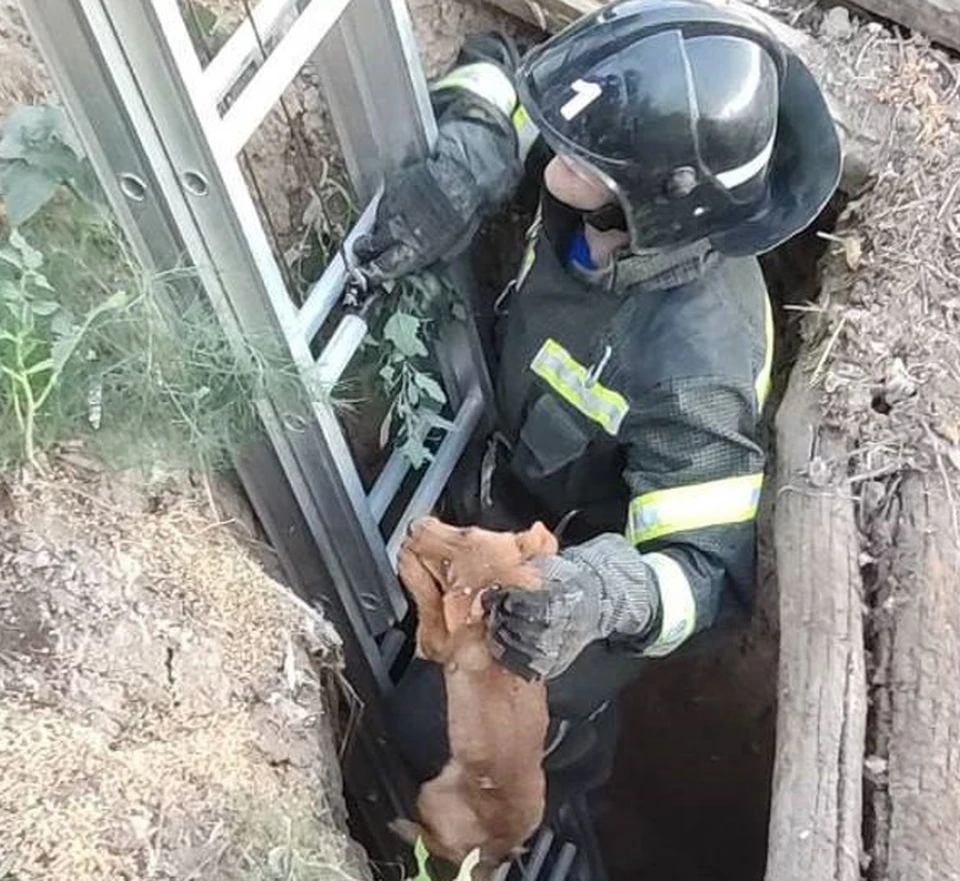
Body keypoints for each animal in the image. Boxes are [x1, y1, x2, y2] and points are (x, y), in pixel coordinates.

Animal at [396, 520, 560, 876]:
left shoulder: (436, 644)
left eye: (447, 569)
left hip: (433, 794)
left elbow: (430, 604)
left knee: (444, 849)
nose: (413, 525)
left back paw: (407, 829)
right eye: (466, 531)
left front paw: (410, 567)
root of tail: (495, 852)